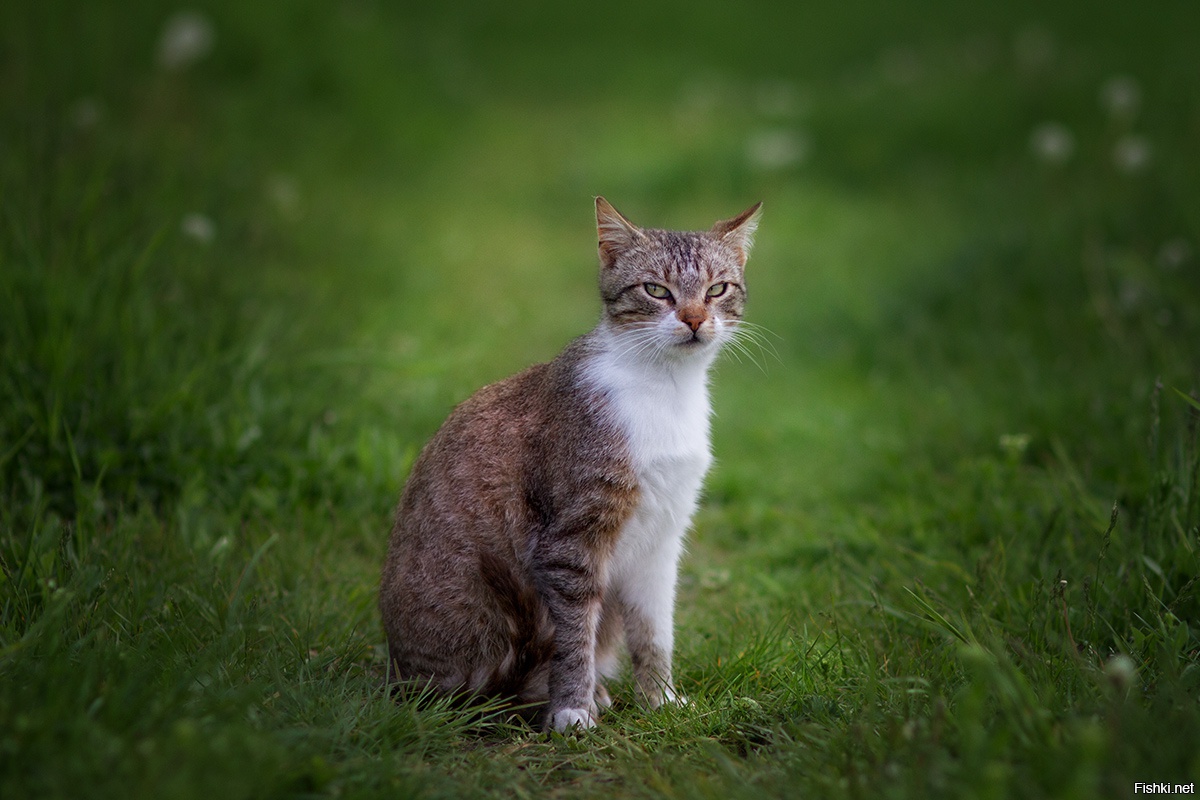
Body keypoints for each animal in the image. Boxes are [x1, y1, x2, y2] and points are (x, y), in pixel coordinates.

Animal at [379, 195, 763, 734]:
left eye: (716, 289)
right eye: (656, 290)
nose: (693, 320)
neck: (664, 387)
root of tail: (399, 670)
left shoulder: (662, 538)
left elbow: (654, 631)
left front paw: (662, 701)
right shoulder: (570, 540)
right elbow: (575, 634)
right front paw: (571, 710)